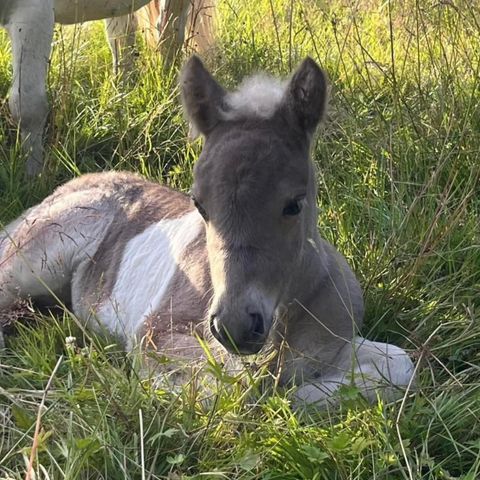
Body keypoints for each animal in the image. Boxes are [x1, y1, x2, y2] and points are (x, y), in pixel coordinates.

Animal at [0, 57, 414, 408]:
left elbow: (400, 366)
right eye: (199, 205)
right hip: (35, 257)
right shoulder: (158, 331)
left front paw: (299, 394)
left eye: (294, 204)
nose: (235, 325)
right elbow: (232, 390)